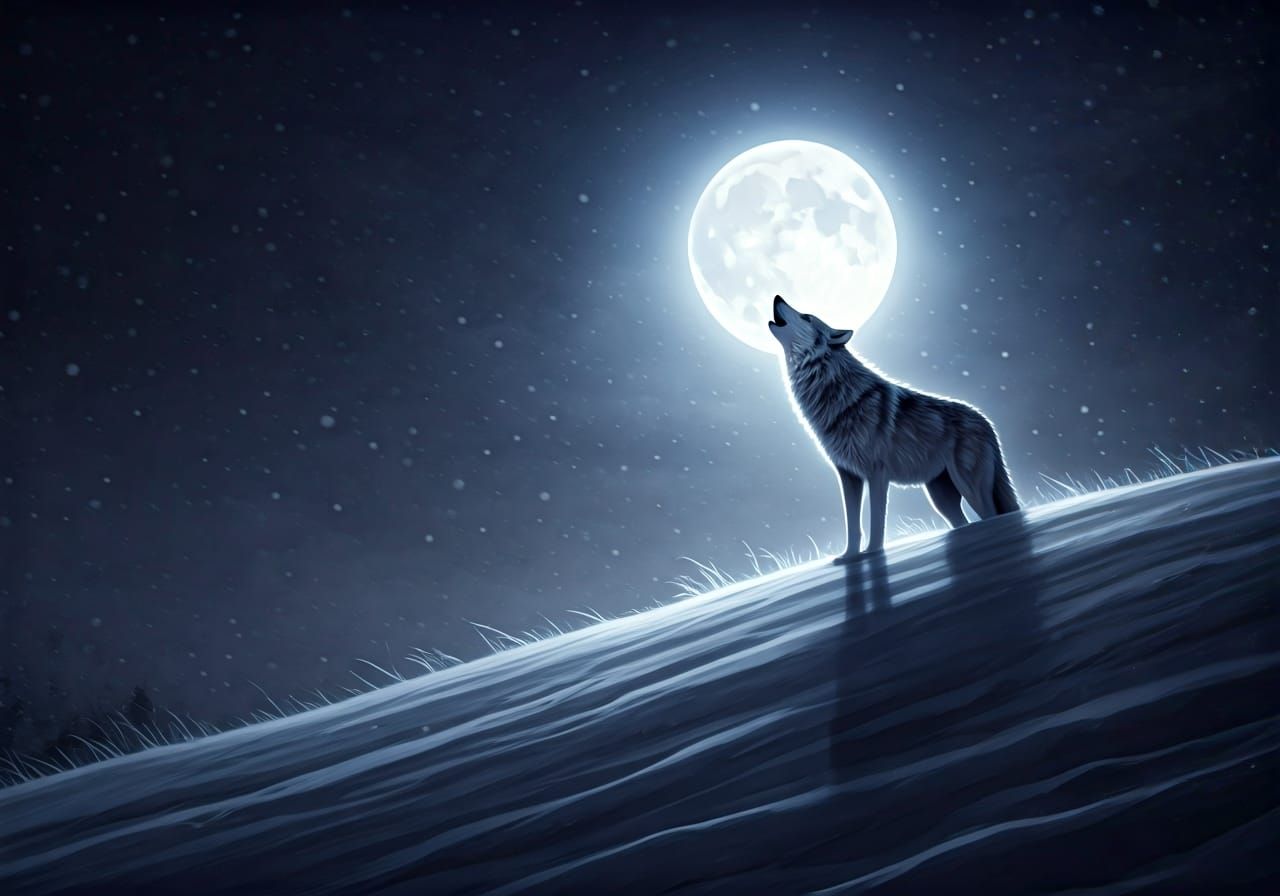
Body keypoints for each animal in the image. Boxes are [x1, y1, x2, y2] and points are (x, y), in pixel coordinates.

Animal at [768, 295, 1019, 562]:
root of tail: (986, 421)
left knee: (993, 514)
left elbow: (877, 520)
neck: (836, 392)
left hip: (969, 487)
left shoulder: (877, 474)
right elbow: (852, 525)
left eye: (806, 317)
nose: (777, 297)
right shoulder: (848, 476)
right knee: (964, 522)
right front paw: (849, 556)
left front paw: (873, 553)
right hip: (941, 497)